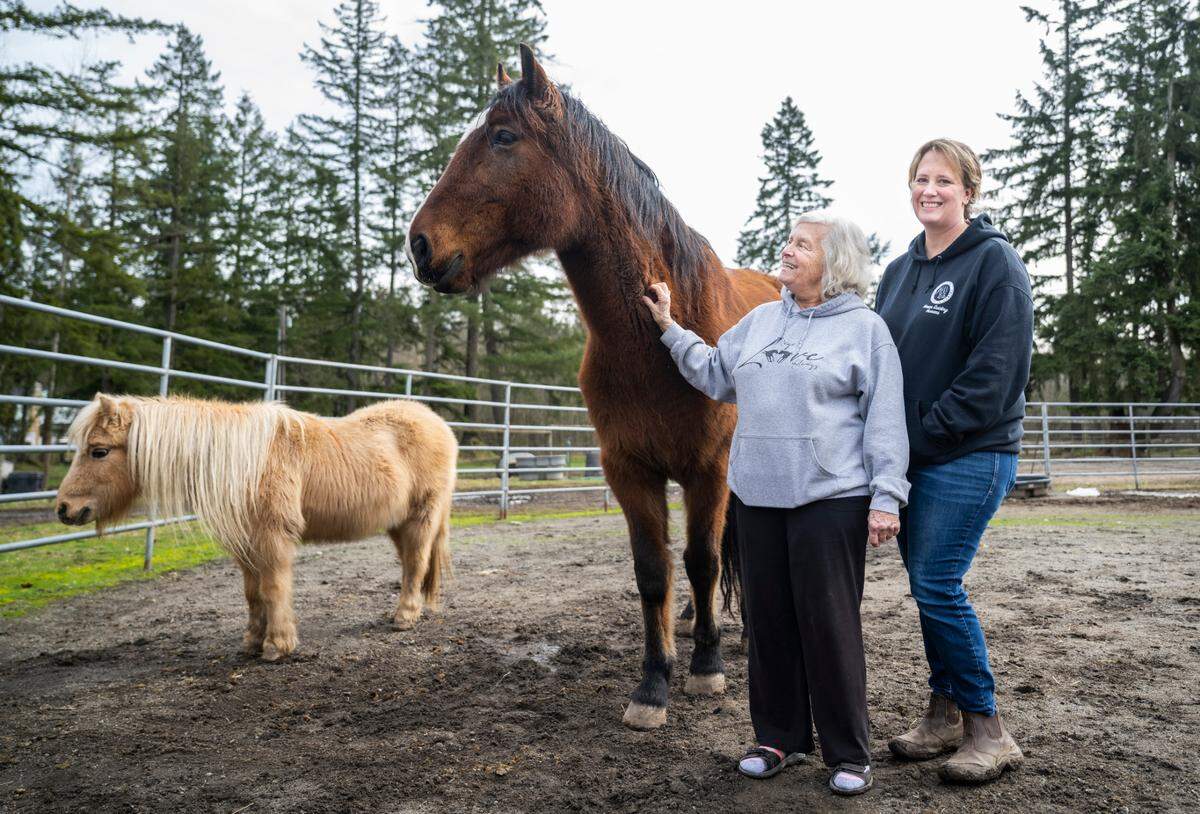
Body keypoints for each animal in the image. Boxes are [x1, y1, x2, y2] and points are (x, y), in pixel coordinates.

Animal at [55, 394, 458, 660]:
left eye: (99, 451)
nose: (64, 509)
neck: (243, 463)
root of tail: (439, 424)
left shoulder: (272, 537)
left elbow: (274, 587)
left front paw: (277, 644)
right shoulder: (246, 544)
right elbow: (253, 593)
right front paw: (252, 640)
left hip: (421, 518)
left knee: (416, 564)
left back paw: (405, 616)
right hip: (397, 525)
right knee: (411, 565)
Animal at [407, 45, 779, 730]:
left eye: (503, 137)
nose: (420, 244)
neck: (654, 342)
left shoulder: (709, 469)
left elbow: (703, 558)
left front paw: (707, 668)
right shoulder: (628, 469)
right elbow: (655, 572)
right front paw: (654, 683)